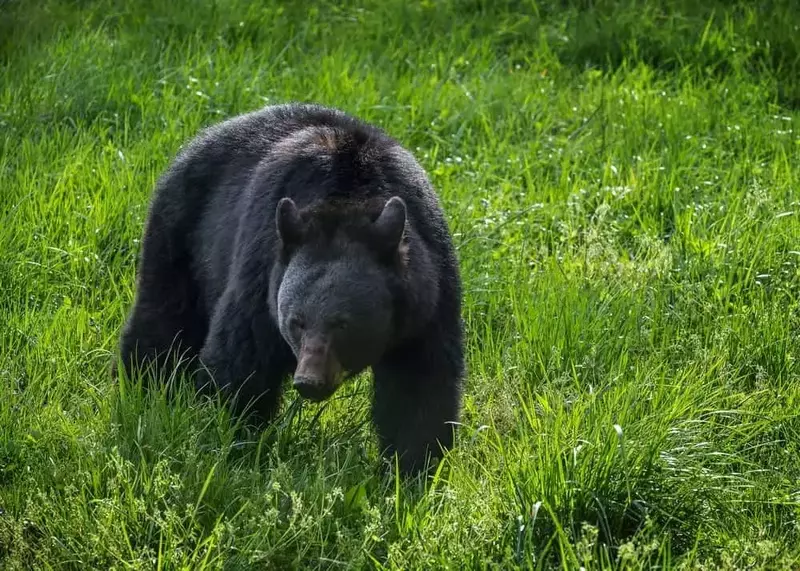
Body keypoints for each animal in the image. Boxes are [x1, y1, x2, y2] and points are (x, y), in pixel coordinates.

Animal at [117, 102, 465, 475]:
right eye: (296, 322)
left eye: (343, 324)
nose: (309, 382)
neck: (349, 199)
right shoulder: (262, 273)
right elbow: (241, 359)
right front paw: (230, 440)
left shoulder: (427, 297)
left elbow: (420, 384)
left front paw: (412, 468)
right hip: (181, 233)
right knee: (164, 319)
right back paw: (140, 388)